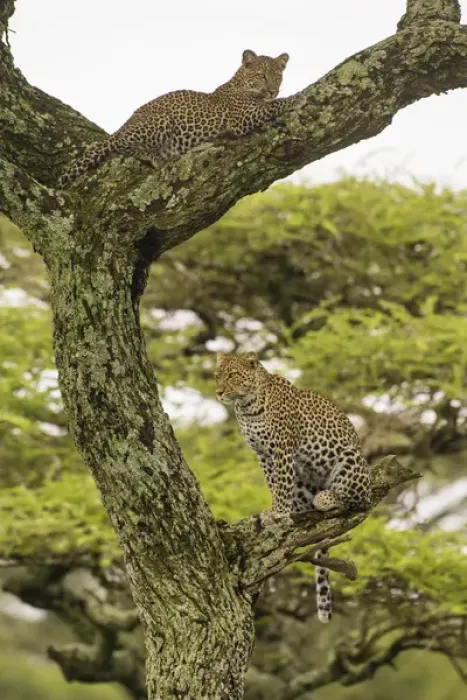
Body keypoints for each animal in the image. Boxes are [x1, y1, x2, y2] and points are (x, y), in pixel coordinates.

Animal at [58, 49, 305, 187]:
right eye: (262, 76)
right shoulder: (243, 117)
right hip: (159, 121)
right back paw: (154, 156)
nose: (273, 90)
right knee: (122, 146)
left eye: (278, 77)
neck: (241, 84)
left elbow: (271, 104)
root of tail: (123, 126)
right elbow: (273, 106)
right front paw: (298, 97)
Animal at [214, 351, 371, 624]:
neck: (247, 406)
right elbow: (273, 483)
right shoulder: (263, 455)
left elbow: (282, 483)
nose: (219, 392)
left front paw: (277, 512)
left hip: (351, 460)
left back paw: (327, 498)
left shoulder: (283, 449)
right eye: (217, 376)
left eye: (233, 376)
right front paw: (276, 510)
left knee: (356, 499)